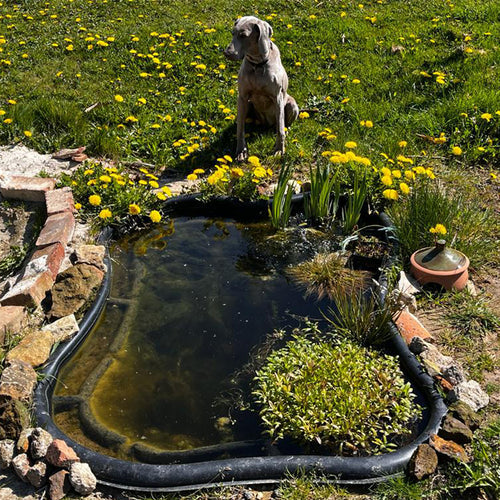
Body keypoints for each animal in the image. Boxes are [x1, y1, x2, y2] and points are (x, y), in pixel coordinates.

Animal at [224, 16, 300, 160]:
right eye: (232, 33)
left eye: (243, 35)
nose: (226, 53)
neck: (257, 65)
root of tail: (266, 124)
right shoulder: (242, 97)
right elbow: (240, 129)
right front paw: (241, 151)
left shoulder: (277, 98)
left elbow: (280, 129)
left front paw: (279, 149)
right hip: (248, 104)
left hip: (291, 105)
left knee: (283, 125)